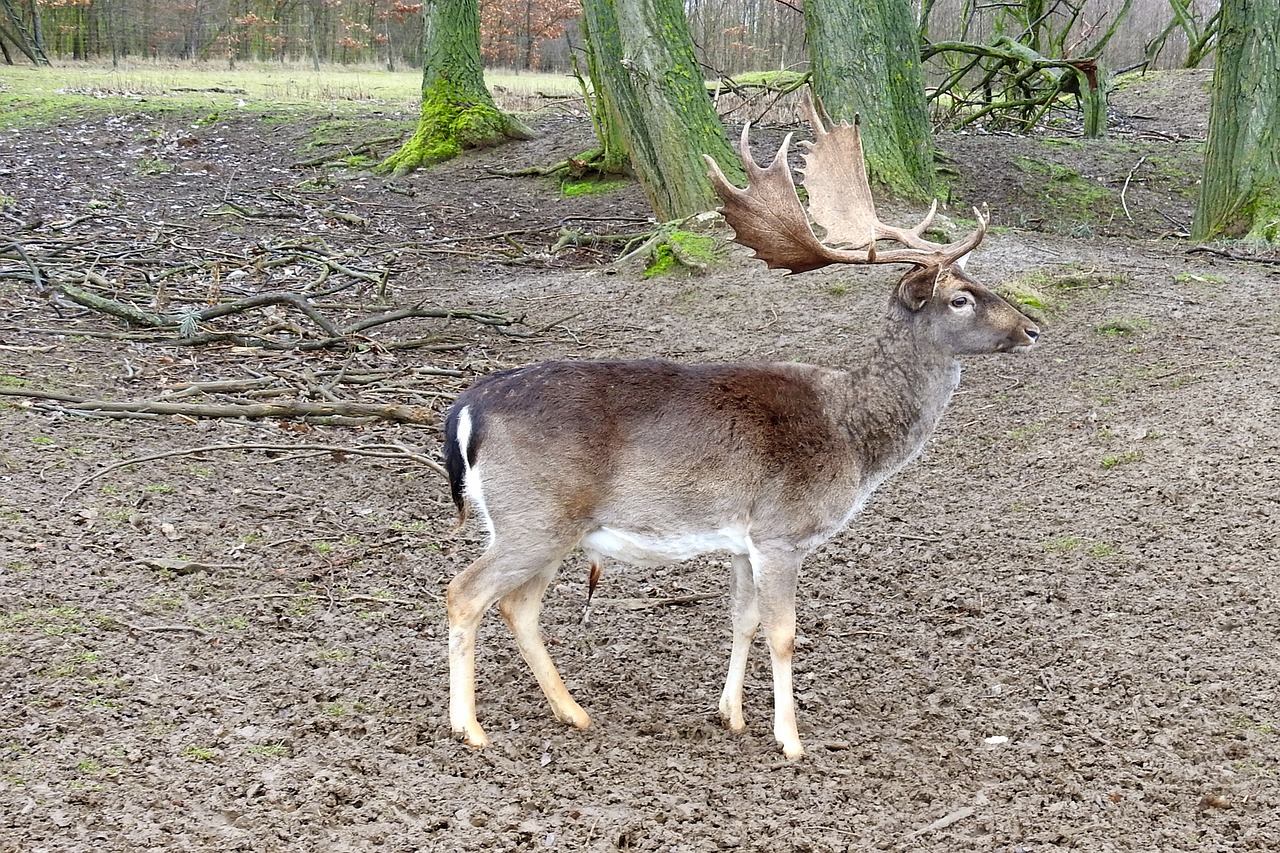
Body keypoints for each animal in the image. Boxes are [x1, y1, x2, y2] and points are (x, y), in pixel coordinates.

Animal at [440, 94, 1039, 758]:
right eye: (960, 297)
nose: (1032, 328)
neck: (854, 439)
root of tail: (465, 410)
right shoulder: (782, 530)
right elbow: (784, 632)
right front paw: (790, 741)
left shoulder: (742, 541)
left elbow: (743, 619)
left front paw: (731, 714)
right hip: (535, 515)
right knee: (464, 593)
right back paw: (470, 728)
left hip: (547, 526)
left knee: (517, 606)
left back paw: (573, 713)